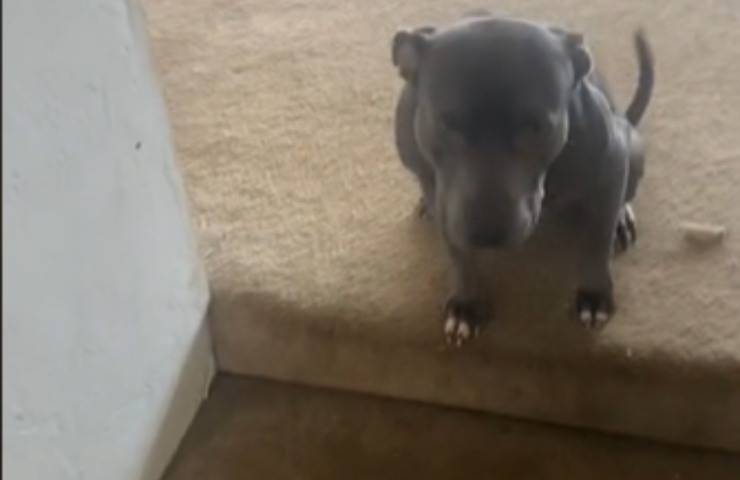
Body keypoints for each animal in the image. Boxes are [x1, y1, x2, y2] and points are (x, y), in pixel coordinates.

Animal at [391, 12, 654, 346]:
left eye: (536, 125)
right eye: (447, 122)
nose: (486, 233)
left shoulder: (612, 163)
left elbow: (597, 242)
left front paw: (594, 296)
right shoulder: (442, 198)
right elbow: (458, 254)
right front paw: (466, 304)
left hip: (632, 148)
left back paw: (621, 217)